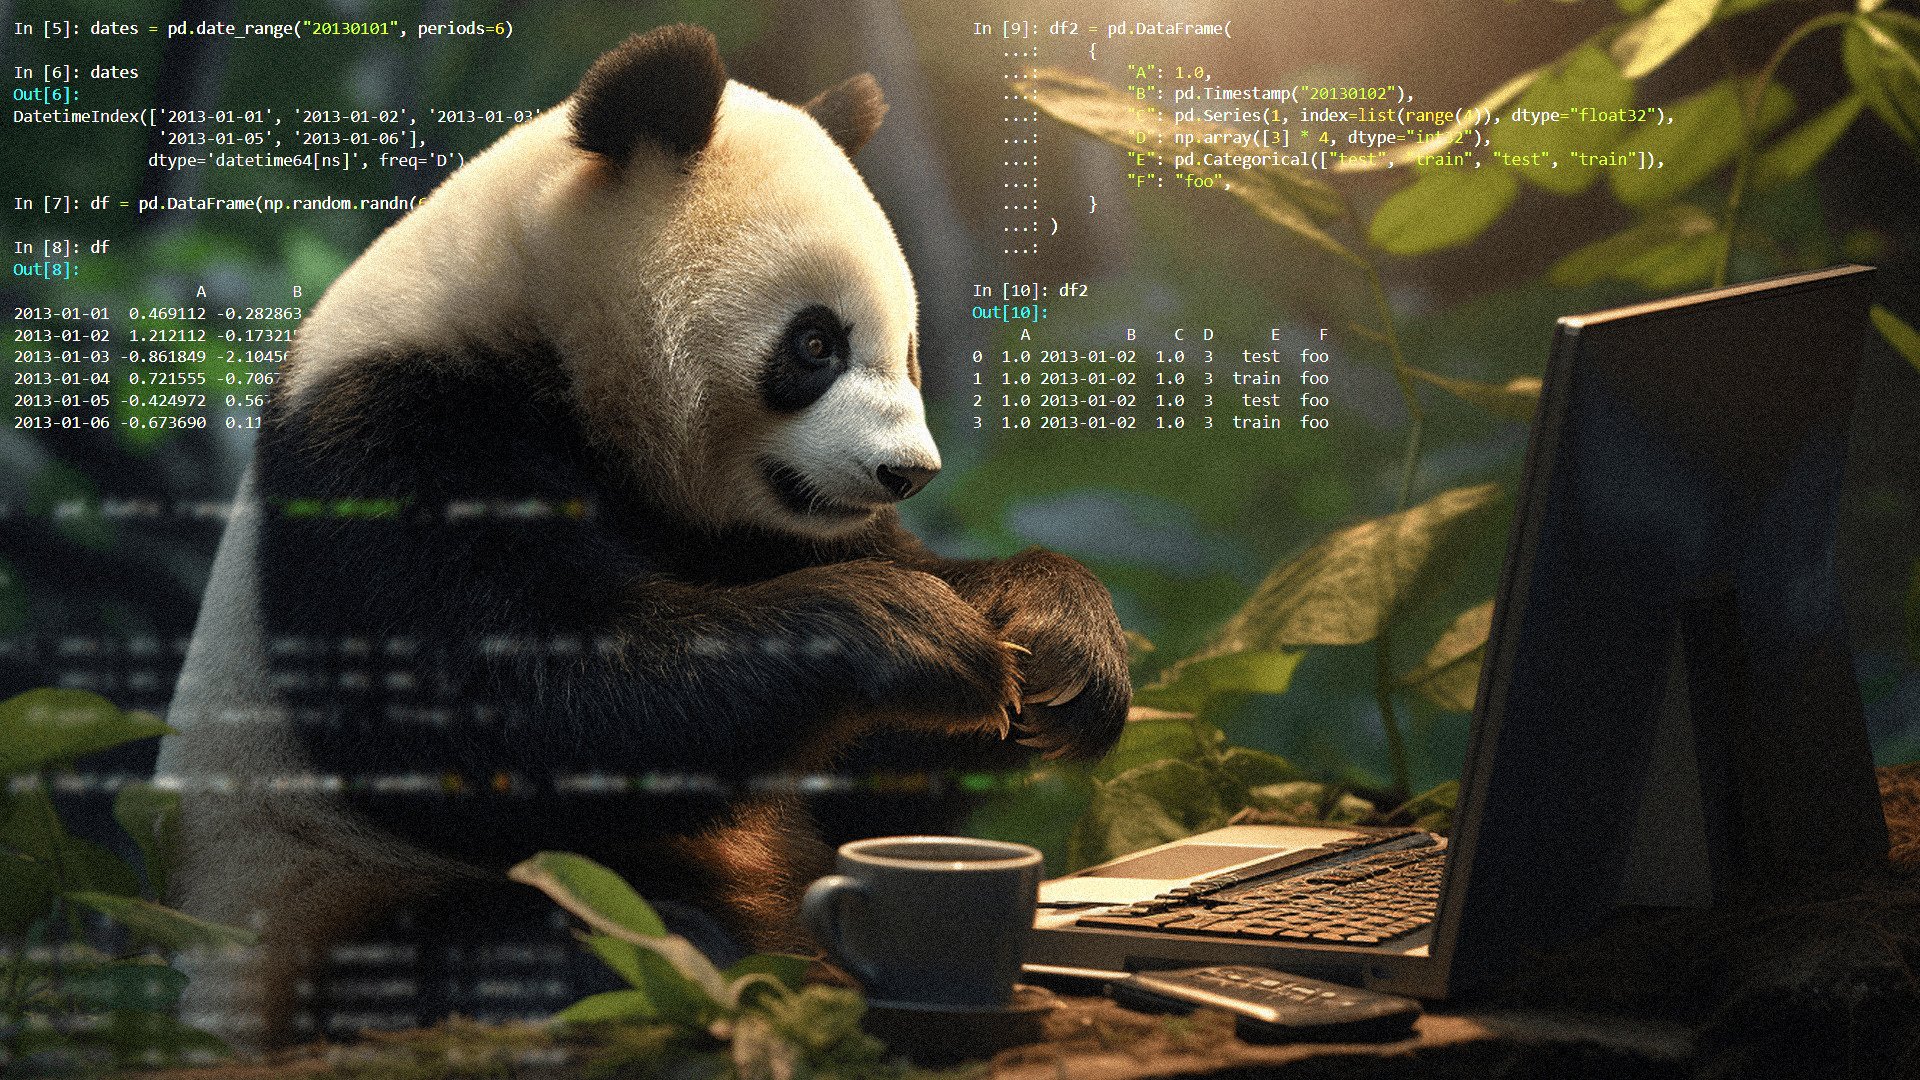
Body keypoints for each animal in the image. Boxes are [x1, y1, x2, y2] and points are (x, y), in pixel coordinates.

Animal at [155, 24, 1129, 1047]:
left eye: (905, 348)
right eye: (814, 345)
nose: (908, 473)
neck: (539, 328)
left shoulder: (742, 523)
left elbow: (863, 764)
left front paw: (1057, 642)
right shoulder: (396, 432)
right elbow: (501, 708)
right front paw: (908, 634)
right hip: (329, 907)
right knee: (527, 947)